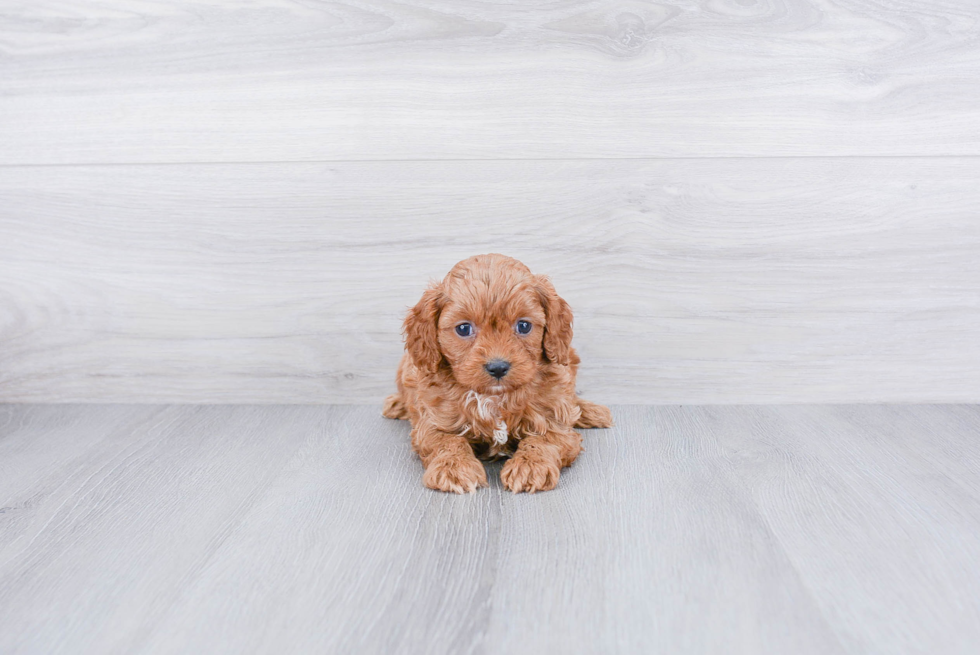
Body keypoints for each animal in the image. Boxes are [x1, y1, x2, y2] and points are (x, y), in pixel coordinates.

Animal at [382, 254, 612, 494]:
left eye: (524, 326)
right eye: (463, 328)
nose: (498, 367)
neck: (494, 397)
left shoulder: (556, 422)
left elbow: (544, 439)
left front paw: (530, 466)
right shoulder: (432, 424)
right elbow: (448, 441)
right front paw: (453, 468)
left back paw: (591, 411)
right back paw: (397, 404)